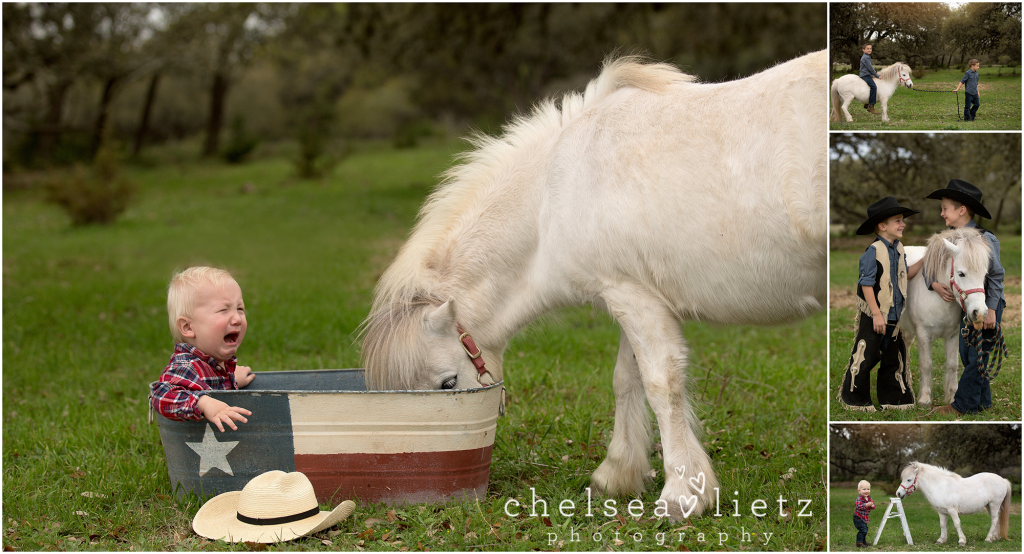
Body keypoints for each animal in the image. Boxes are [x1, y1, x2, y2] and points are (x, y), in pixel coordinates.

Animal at [358, 51, 823, 518]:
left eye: (448, 384)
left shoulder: (632, 297)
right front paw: (617, 474)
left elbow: (661, 384)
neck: (552, 196)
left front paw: (682, 493)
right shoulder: (633, 297)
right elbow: (626, 379)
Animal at [905, 226, 991, 403]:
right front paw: (924, 398)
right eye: (961, 273)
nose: (980, 312)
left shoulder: (953, 335)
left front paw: (951, 397)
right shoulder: (923, 333)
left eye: (984, 274)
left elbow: (952, 365)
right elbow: (926, 364)